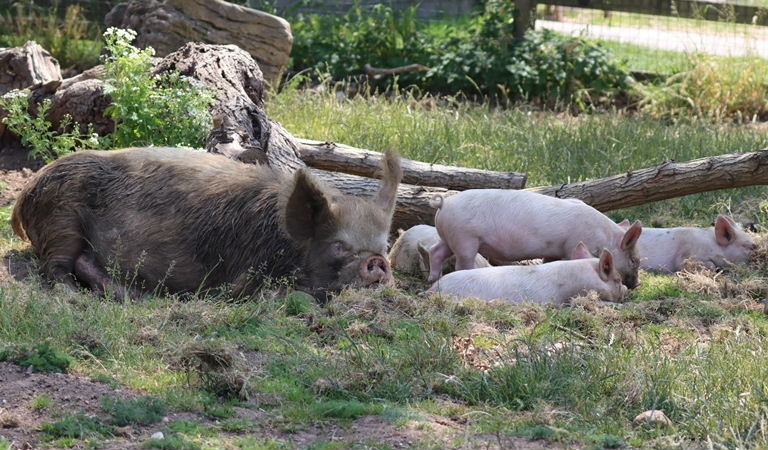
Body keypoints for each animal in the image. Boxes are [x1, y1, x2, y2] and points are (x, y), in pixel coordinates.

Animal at [11, 146, 402, 301]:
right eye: (338, 245)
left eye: (383, 247)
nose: (377, 262)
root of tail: (26, 193)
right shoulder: (248, 272)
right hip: (61, 220)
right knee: (56, 266)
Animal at [427, 189, 643, 288]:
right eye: (634, 260)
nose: (638, 284)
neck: (603, 236)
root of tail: (444, 204)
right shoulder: (573, 244)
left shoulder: (555, 249)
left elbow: (549, 261)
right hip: (466, 239)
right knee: (461, 263)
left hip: (450, 237)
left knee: (435, 251)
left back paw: (432, 278)